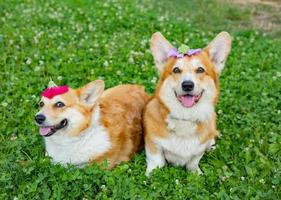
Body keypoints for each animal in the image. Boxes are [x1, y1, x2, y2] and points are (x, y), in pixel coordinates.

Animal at [143, 31, 231, 175]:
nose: (188, 85)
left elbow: (193, 161)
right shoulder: (153, 144)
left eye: (200, 70)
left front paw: (196, 173)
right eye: (176, 70)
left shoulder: (198, 150)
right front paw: (151, 174)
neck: (185, 117)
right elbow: (156, 161)